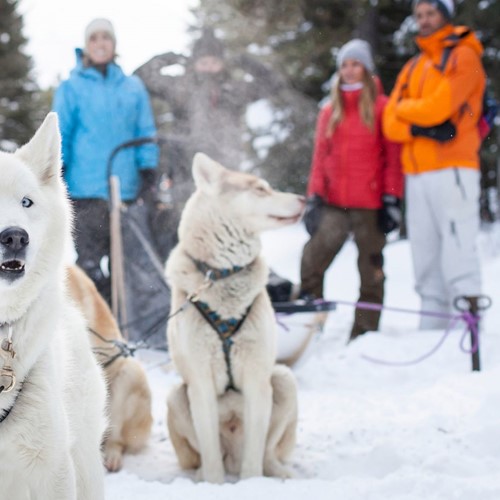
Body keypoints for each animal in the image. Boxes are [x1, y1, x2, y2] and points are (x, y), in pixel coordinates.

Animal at [166, 154, 304, 482]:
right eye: (261, 189)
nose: (305, 199)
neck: (222, 274)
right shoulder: (200, 383)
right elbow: (210, 452)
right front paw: (214, 485)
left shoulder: (257, 379)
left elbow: (255, 455)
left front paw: (251, 484)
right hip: (176, 395)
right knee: (207, 458)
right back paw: (199, 476)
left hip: (283, 379)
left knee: (267, 454)